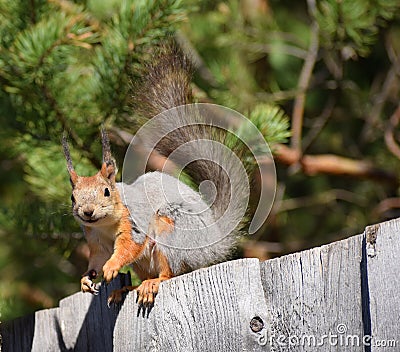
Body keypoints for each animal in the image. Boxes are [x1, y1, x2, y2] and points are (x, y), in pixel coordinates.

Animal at [63, 42, 253, 306]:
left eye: (107, 191)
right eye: (73, 197)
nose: (87, 212)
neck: (106, 225)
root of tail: (211, 246)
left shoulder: (134, 222)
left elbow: (128, 248)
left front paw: (111, 266)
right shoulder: (95, 239)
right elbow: (97, 259)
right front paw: (86, 278)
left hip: (171, 233)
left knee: (170, 272)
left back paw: (152, 283)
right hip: (144, 262)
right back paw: (127, 288)